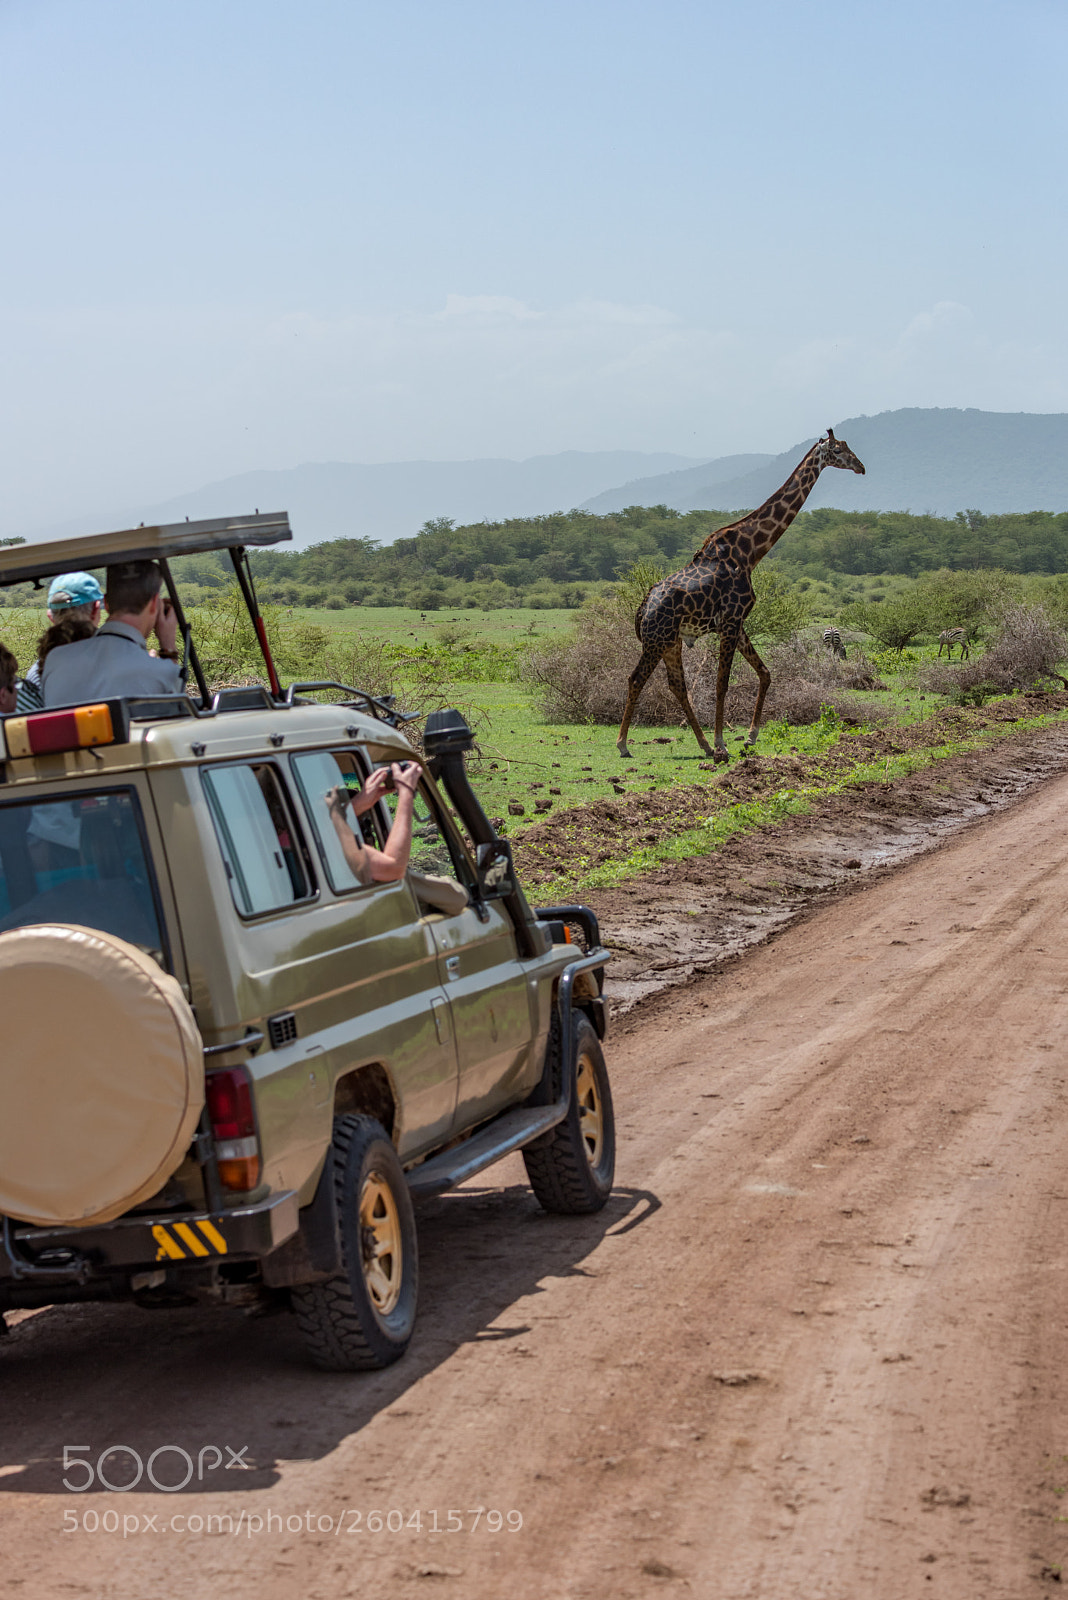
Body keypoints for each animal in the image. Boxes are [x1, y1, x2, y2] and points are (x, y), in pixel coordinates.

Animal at [616, 429, 866, 761]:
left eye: (848, 447)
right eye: (838, 450)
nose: (861, 467)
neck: (750, 553)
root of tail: (643, 609)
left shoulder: (738, 623)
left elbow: (765, 673)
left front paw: (749, 737)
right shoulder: (731, 622)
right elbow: (722, 684)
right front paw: (724, 742)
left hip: (670, 642)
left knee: (677, 685)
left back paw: (704, 745)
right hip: (656, 640)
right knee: (636, 679)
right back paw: (624, 744)